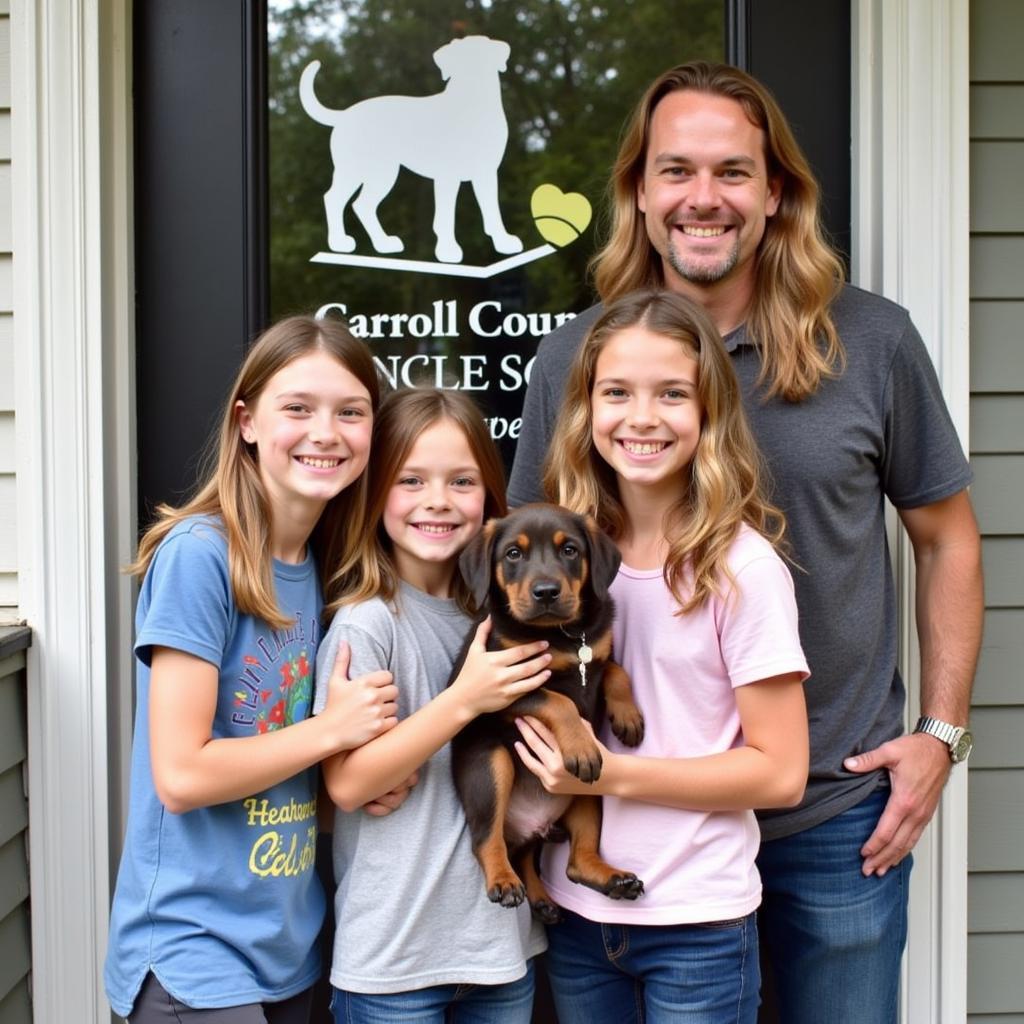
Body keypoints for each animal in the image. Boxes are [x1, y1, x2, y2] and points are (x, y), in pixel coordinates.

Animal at [296, 37, 520, 264]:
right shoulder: (447, 177)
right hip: (363, 172)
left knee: (359, 204)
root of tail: (343, 115)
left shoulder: (486, 174)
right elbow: (446, 215)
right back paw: (341, 243)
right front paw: (448, 250)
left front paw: (503, 242)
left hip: (376, 174)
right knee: (337, 199)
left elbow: (492, 211)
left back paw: (381, 244)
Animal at [452, 503, 643, 921]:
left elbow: (615, 671)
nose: (546, 593)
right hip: (490, 766)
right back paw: (505, 881)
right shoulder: (506, 684)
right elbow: (558, 701)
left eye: (570, 550)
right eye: (513, 554)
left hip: (589, 795)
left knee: (572, 861)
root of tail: (530, 825)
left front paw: (628, 715)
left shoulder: (597, 653)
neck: (560, 634)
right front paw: (581, 746)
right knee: (486, 839)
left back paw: (607, 881)